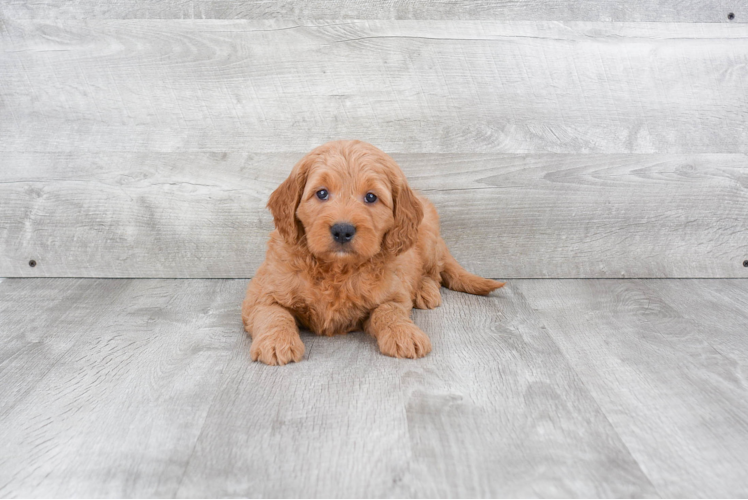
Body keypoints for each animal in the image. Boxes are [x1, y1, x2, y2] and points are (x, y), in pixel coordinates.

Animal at [243, 139, 506, 366]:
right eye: (321, 193)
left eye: (371, 197)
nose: (342, 230)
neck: (337, 270)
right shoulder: (261, 293)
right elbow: (274, 313)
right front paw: (276, 342)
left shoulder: (393, 293)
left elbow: (389, 311)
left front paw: (404, 333)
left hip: (428, 235)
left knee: (434, 272)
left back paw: (425, 290)